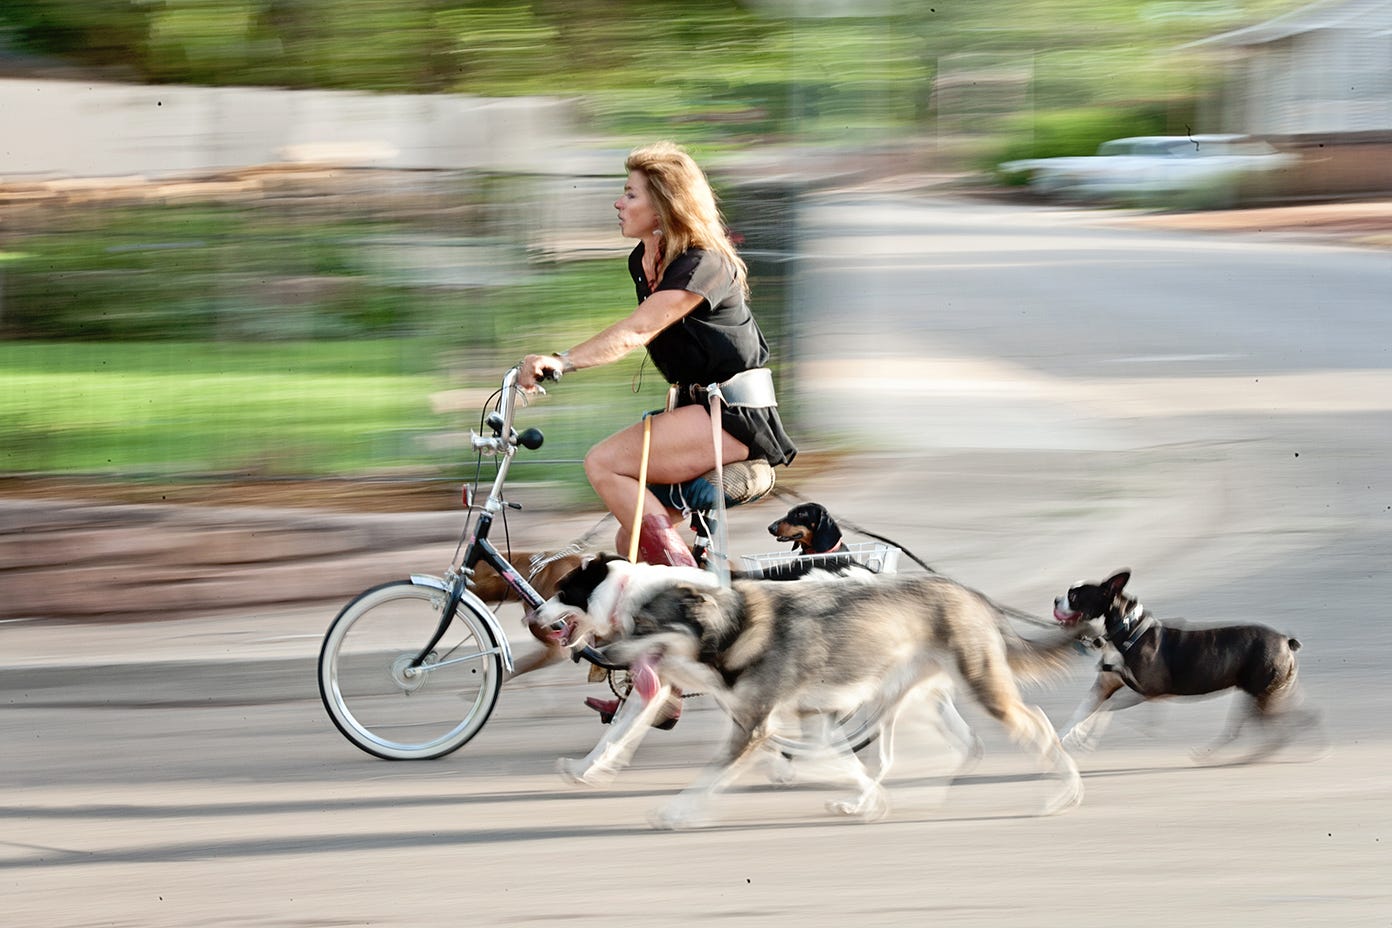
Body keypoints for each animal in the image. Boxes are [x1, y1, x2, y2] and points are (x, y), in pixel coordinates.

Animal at [1046, 570, 1319, 756]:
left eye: (1074, 596)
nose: (1056, 599)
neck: (1127, 628)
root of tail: (1285, 641)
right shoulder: (1105, 684)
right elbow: (1083, 710)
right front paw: (1063, 738)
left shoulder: (1148, 691)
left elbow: (1103, 709)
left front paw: (1083, 737)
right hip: (1269, 692)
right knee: (1295, 717)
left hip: (1261, 694)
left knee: (1275, 729)